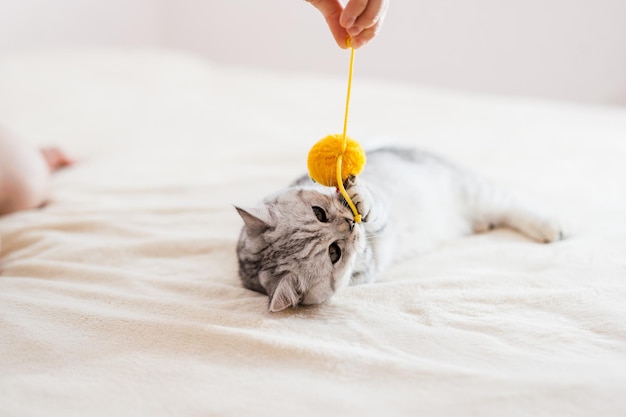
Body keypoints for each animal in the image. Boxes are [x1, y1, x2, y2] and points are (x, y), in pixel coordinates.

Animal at [235, 146, 560, 312]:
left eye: (319, 213)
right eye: (334, 253)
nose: (350, 223)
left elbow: (367, 199)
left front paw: (354, 194)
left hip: (479, 192)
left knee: (516, 207)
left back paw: (551, 228)